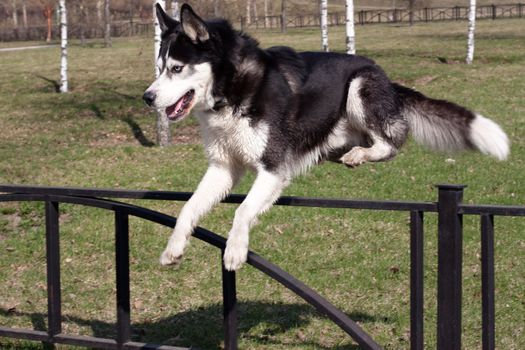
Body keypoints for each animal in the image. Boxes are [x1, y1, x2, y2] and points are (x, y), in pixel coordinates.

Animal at [143, 3, 508, 270]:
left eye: (177, 68)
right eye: (159, 68)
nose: (147, 97)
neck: (232, 91)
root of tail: (388, 80)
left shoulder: (273, 169)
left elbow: (242, 211)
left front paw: (235, 250)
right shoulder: (223, 169)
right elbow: (188, 207)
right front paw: (174, 248)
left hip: (359, 88)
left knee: (392, 142)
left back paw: (362, 153)